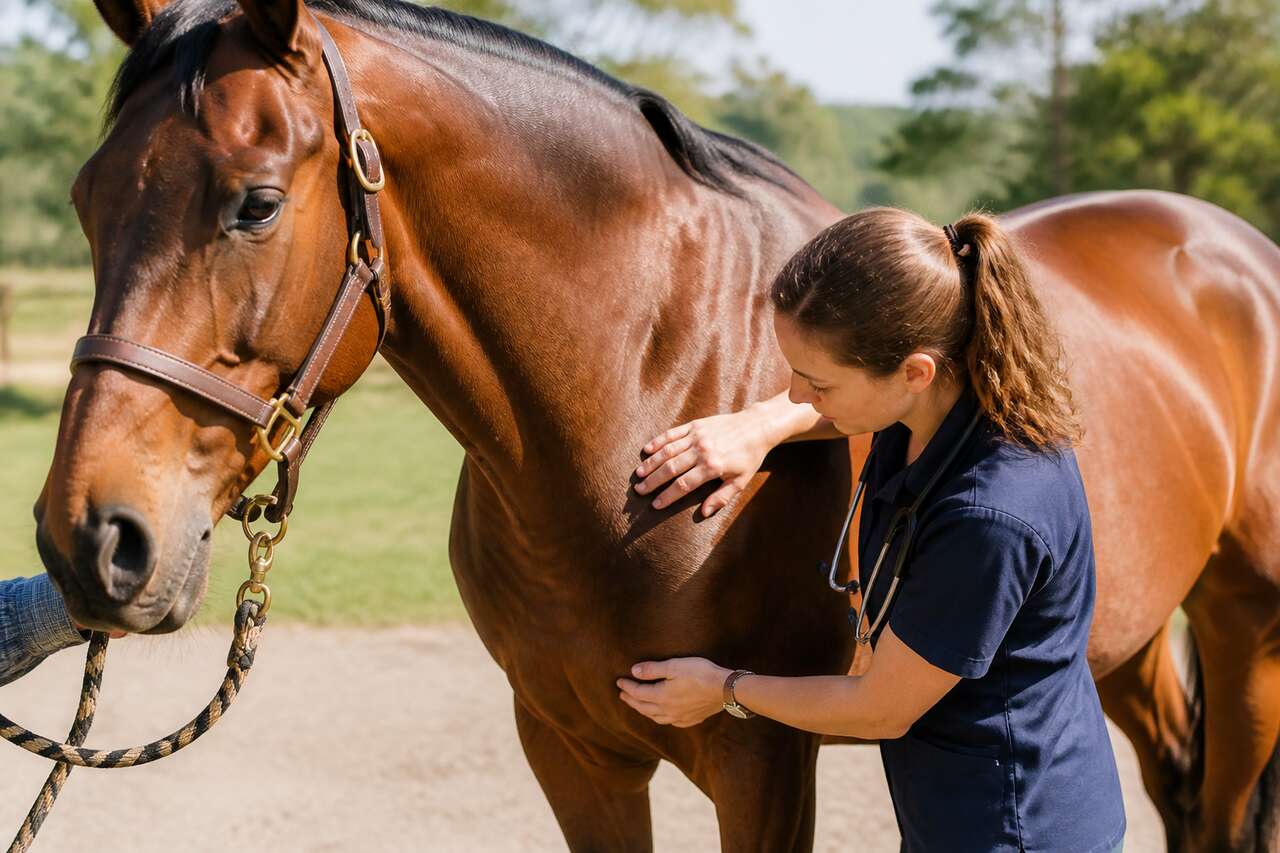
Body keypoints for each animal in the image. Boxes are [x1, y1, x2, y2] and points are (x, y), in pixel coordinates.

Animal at [32, 0, 1280, 848]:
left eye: (253, 203)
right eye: (86, 200)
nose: (91, 541)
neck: (641, 401)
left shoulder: (761, 756)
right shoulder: (567, 746)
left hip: (1243, 625)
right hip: (1121, 636)